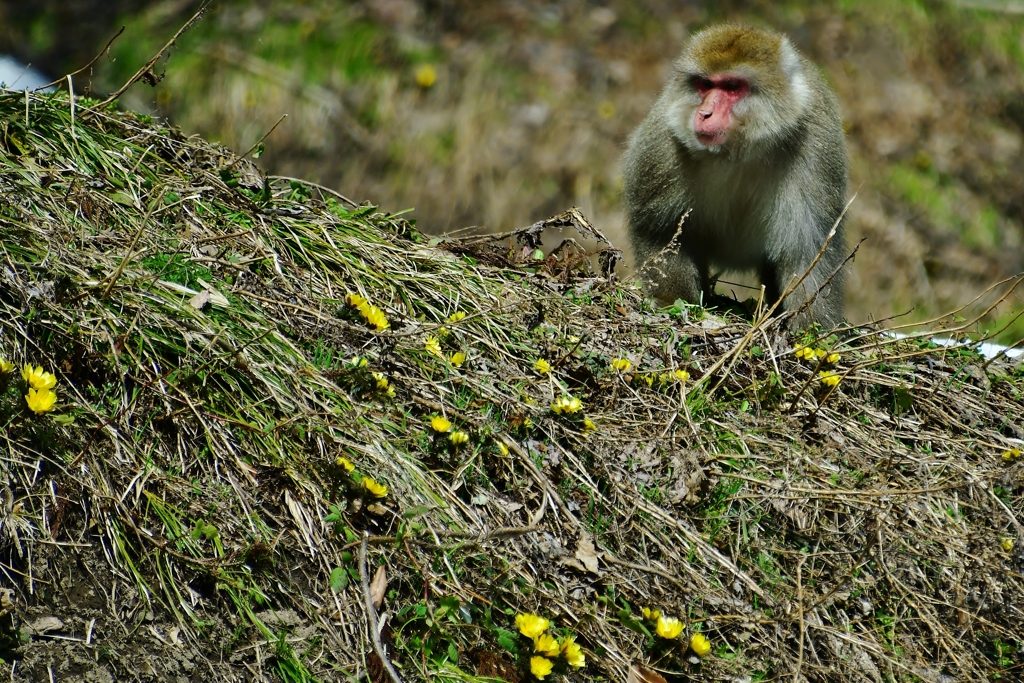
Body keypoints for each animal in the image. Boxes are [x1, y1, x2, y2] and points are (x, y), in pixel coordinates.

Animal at [622, 24, 847, 327]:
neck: (738, 152)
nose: (704, 113)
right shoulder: (662, 145)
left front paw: (811, 328)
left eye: (731, 86)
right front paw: (673, 300)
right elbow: (661, 230)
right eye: (705, 85)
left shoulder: (817, 147)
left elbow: (807, 251)